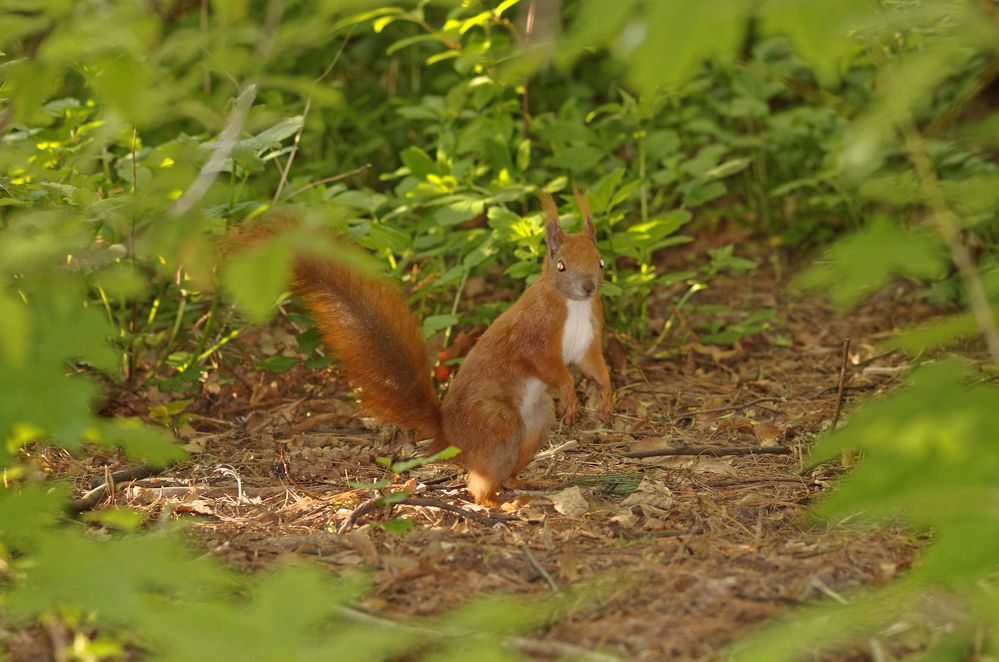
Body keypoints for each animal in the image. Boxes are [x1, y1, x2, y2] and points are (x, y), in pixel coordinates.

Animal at [292, 192, 608, 508]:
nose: (589, 288)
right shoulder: (534, 335)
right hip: (497, 422)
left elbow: (594, 365)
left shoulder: (587, 341)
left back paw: (525, 482)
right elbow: (546, 364)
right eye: (561, 266)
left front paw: (607, 395)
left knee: (508, 469)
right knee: (480, 483)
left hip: (535, 421)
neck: (574, 306)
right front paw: (570, 394)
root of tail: (451, 435)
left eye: (601, 261)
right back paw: (497, 502)